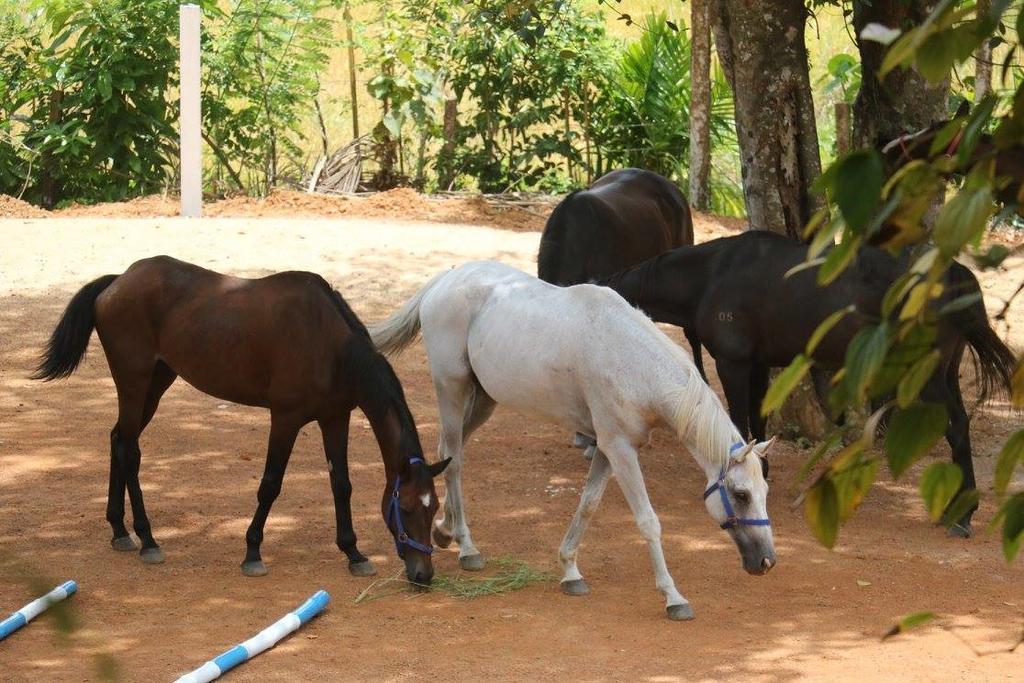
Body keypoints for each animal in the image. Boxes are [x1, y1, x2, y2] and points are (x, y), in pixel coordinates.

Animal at [33, 254, 448, 581]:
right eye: (406, 508)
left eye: (435, 510)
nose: (423, 574)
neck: (329, 344)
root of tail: (118, 280)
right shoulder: (285, 419)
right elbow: (270, 485)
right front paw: (252, 551)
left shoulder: (335, 418)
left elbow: (341, 485)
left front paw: (353, 552)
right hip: (134, 383)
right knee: (130, 452)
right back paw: (147, 538)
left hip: (156, 383)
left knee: (118, 440)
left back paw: (119, 529)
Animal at [368, 260, 774, 618]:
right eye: (741, 494)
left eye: (764, 492)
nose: (767, 561)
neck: (632, 361)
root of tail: (444, 280)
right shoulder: (620, 449)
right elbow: (648, 521)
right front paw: (673, 596)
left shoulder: (609, 448)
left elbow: (588, 503)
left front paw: (570, 570)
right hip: (452, 389)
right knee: (454, 460)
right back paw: (467, 547)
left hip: (484, 399)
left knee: (447, 452)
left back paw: (444, 529)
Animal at [598, 232, 1015, 536]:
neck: (710, 276)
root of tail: (952, 272)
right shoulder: (759, 364)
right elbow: (757, 421)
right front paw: (761, 473)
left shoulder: (734, 364)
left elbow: (739, 422)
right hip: (944, 371)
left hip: (925, 373)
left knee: (956, 427)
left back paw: (962, 517)